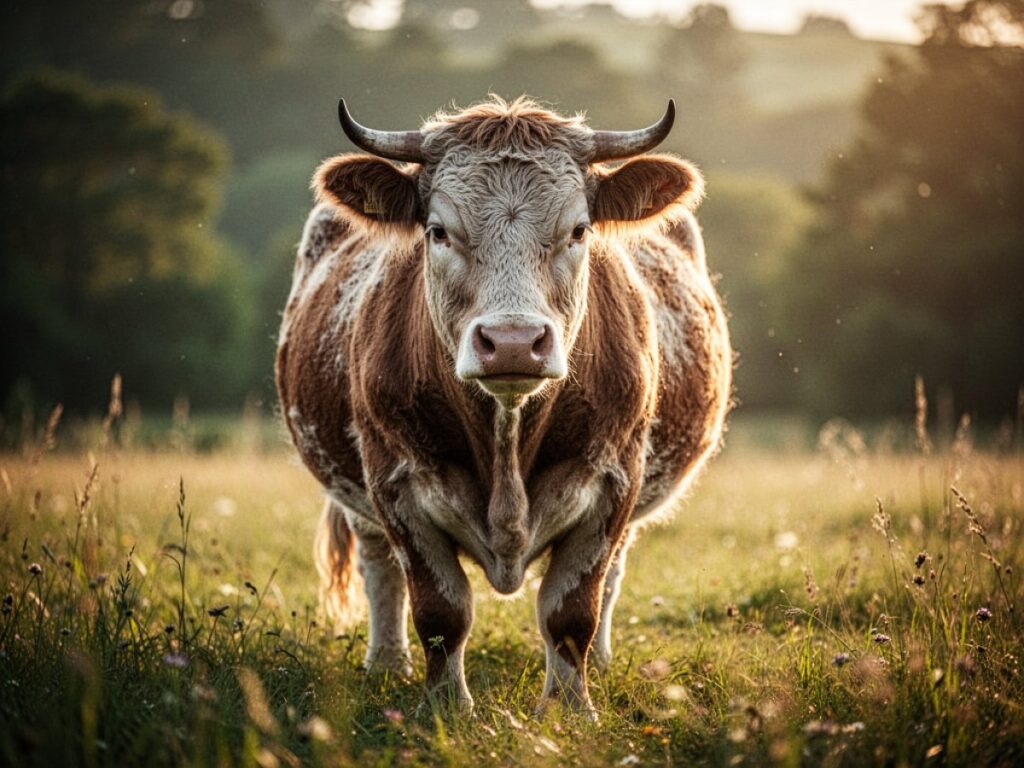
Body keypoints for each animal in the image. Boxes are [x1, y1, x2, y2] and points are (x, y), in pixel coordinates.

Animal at [276, 96, 731, 717]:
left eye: (579, 229)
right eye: (438, 231)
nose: (513, 341)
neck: (507, 435)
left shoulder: (613, 484)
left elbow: (572, 611)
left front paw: (569, 709)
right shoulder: (396, 485)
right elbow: (441, 611)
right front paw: (445, 708)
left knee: (612, 577)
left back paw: (602, 665)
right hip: (358, 496)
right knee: (379, 570)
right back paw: (386, 666)